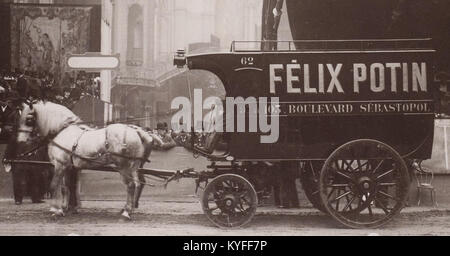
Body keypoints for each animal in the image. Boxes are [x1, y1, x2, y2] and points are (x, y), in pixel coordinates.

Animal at [15, 101, 156, 219]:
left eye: (28, 119)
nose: (20, 141)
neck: (62, 131)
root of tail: (136, 131)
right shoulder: (69, 167)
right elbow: (66, 188)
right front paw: (65, 208)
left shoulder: (60, 165)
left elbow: (53, 185)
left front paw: (56, 210)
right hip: (134, 166)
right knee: (137, 184)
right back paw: (129, 209)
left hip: (123, 166)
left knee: (130, 185)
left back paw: (126, 212)